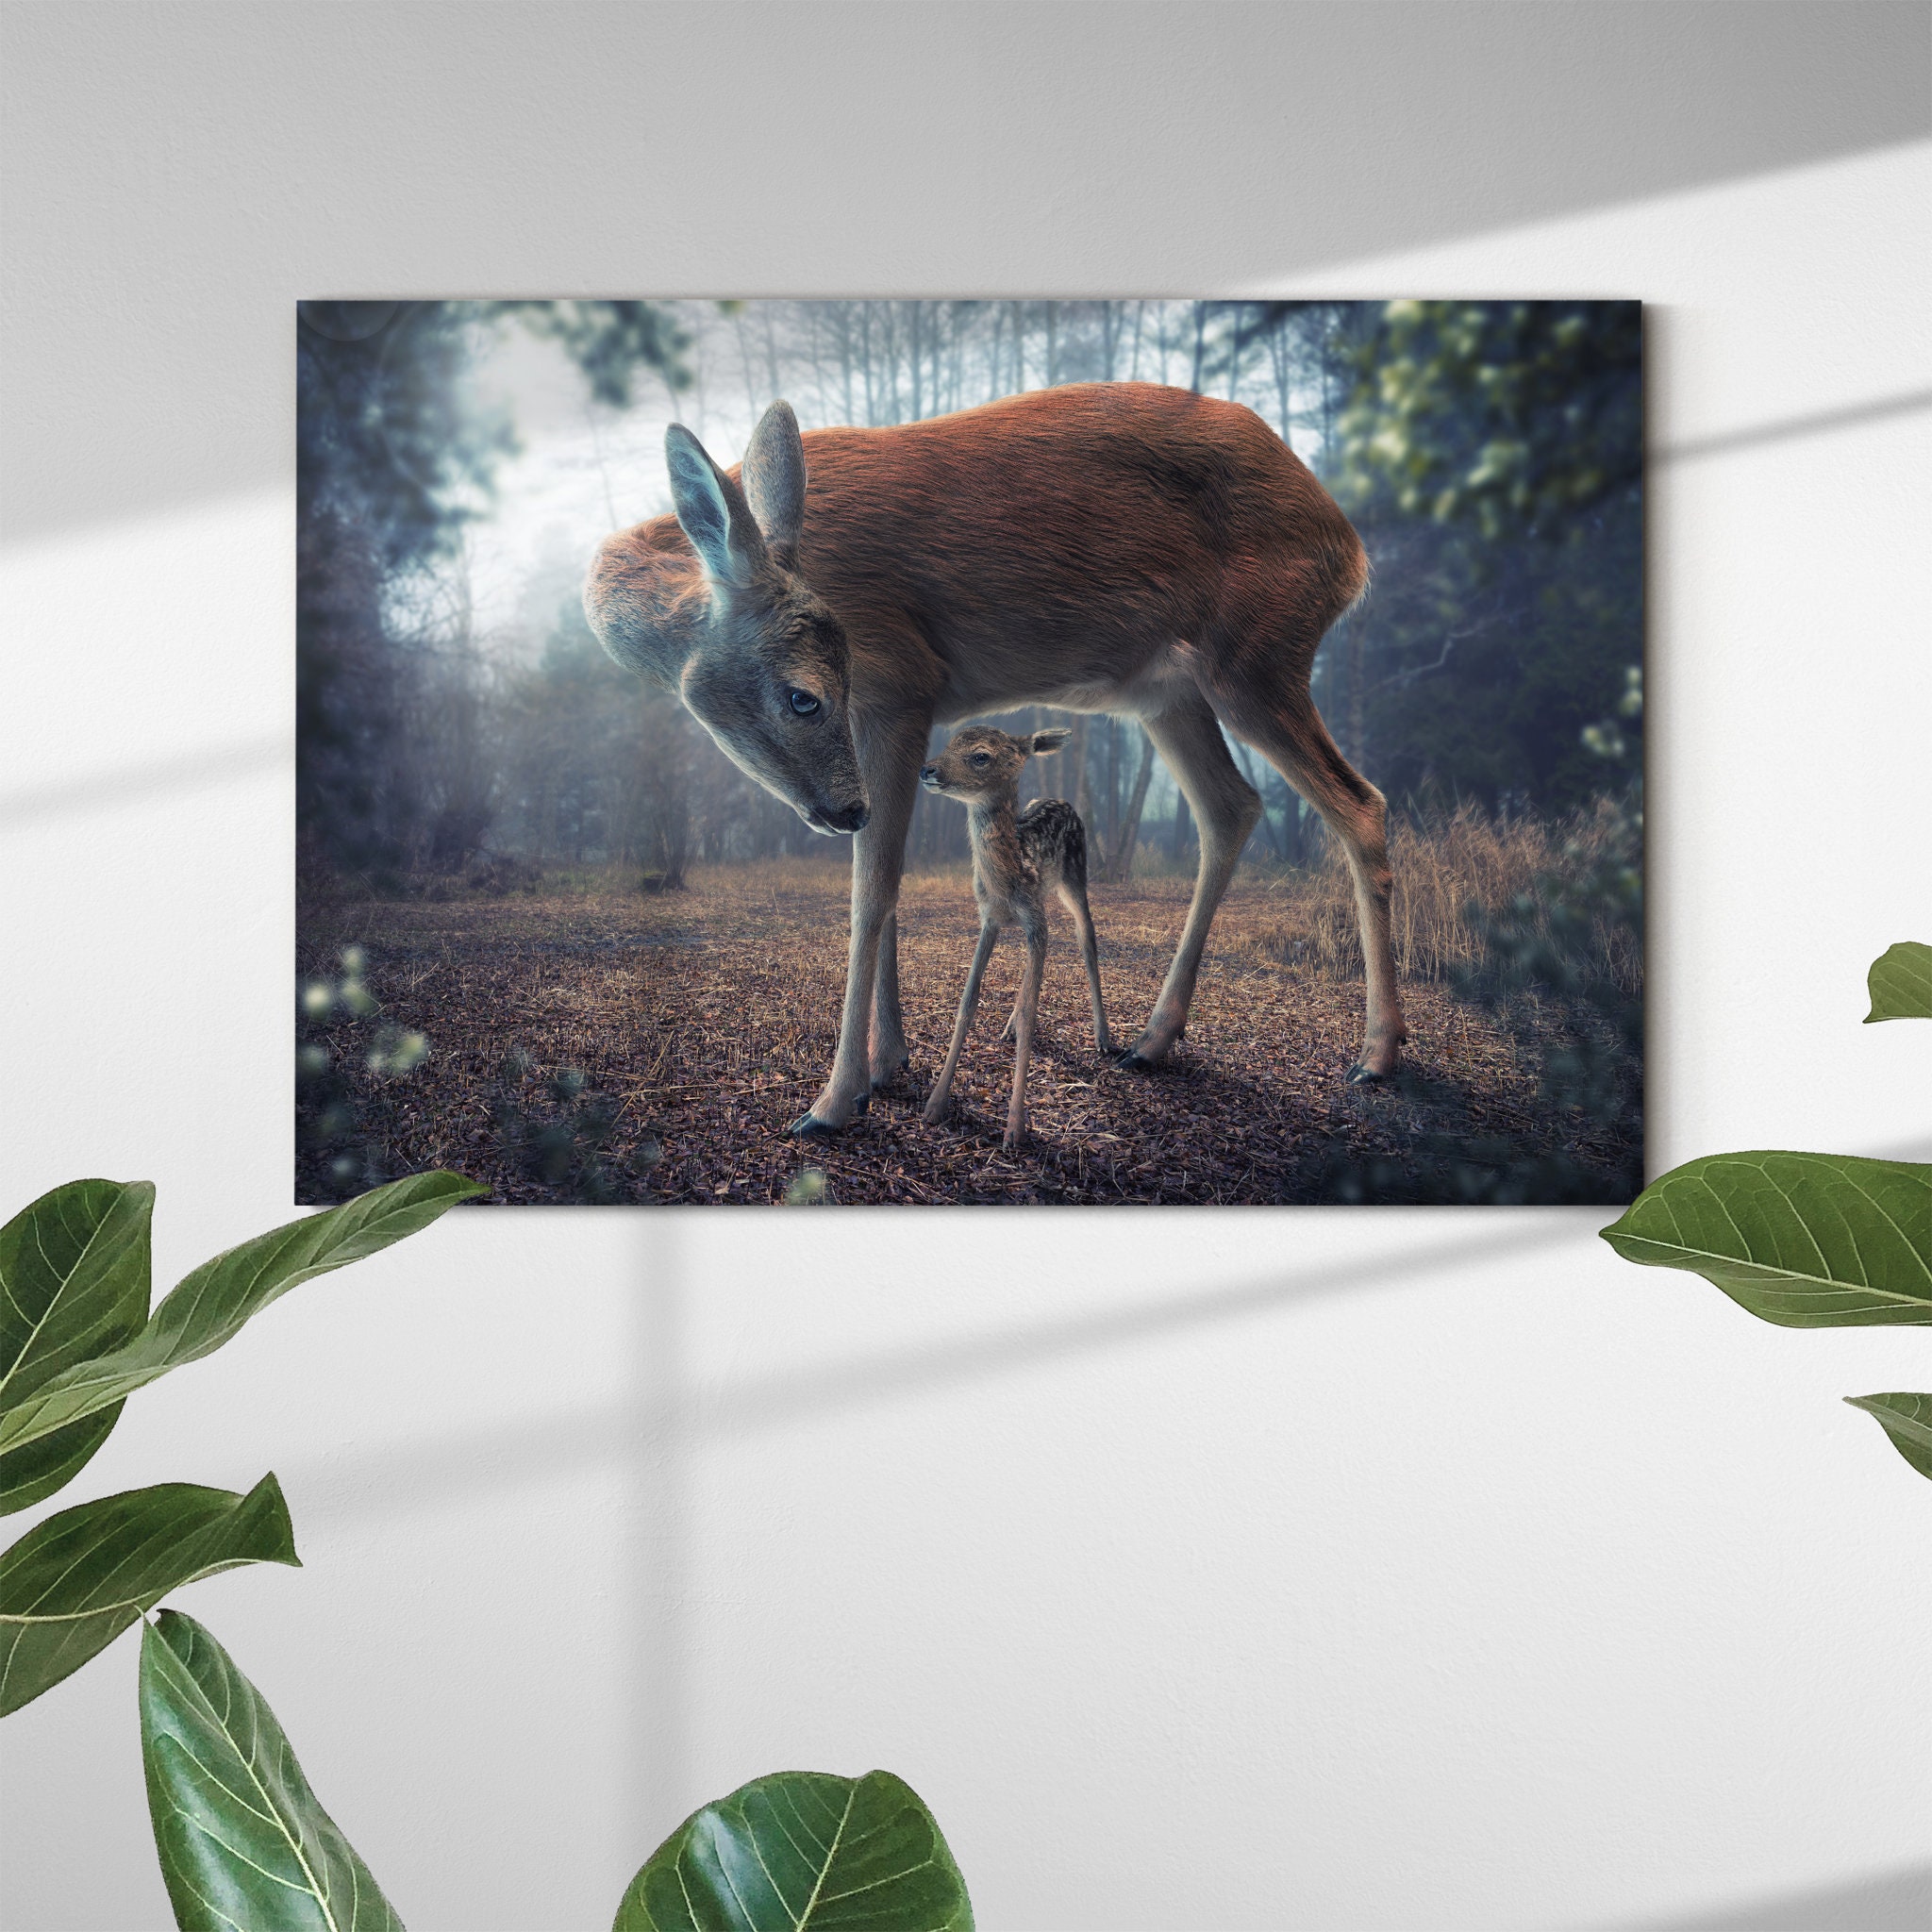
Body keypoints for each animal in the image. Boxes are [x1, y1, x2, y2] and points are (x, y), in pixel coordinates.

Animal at [919, 724, 1112, 1148]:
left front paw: (1015, 1128)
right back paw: (1007, 1026)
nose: (927, 769)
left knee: (1086, 938)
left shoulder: (1034, 919)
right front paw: (935, 1105)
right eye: (950, 741)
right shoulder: (989, 919)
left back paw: (1104, 1037)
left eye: (980, 755)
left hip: (1075, 877)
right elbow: (968, 1002)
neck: (1007, 878)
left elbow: (1032, 1015)